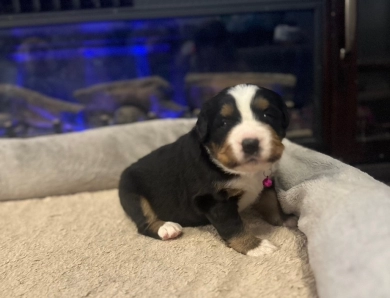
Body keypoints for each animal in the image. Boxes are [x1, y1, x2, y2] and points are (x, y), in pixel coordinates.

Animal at [119, 84, 292, 256]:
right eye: (224, 123)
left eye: (268, 115)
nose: (250, 144)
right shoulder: (214, 200)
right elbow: (233, 227)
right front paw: (255, 246)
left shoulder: (267, 183)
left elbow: (272, 203)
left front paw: (286, 220)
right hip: (133, 194)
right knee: (144, 223)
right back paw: (167, 227)